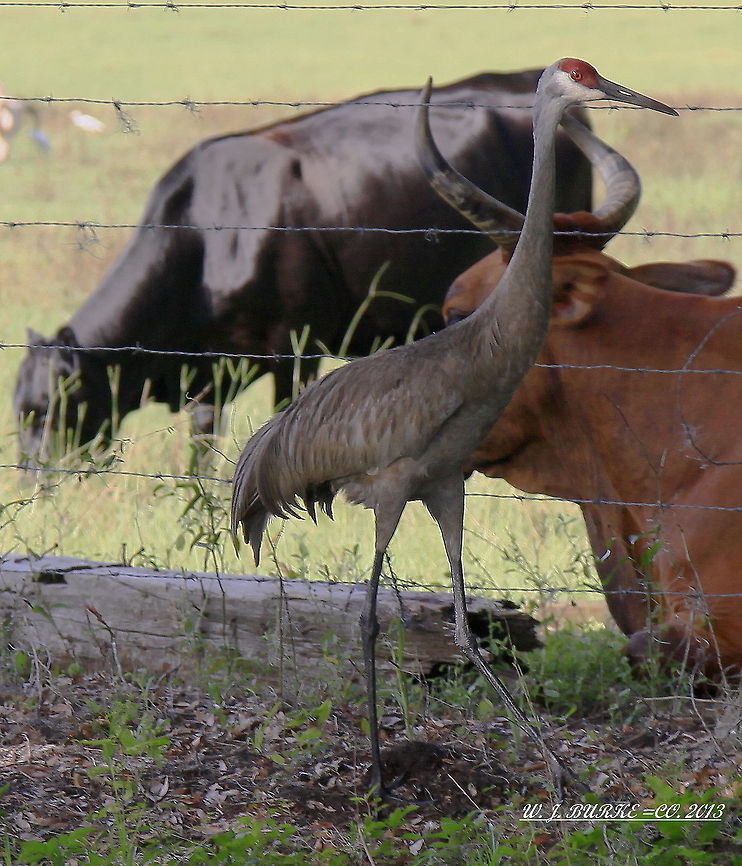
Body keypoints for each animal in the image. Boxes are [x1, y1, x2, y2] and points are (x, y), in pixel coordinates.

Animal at [14, 70, 594, 467]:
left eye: (50, 408)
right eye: (19, 410)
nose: (36, 483)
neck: (210, 236)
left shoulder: (297, 346)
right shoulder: (207, 373)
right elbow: (202, 447)